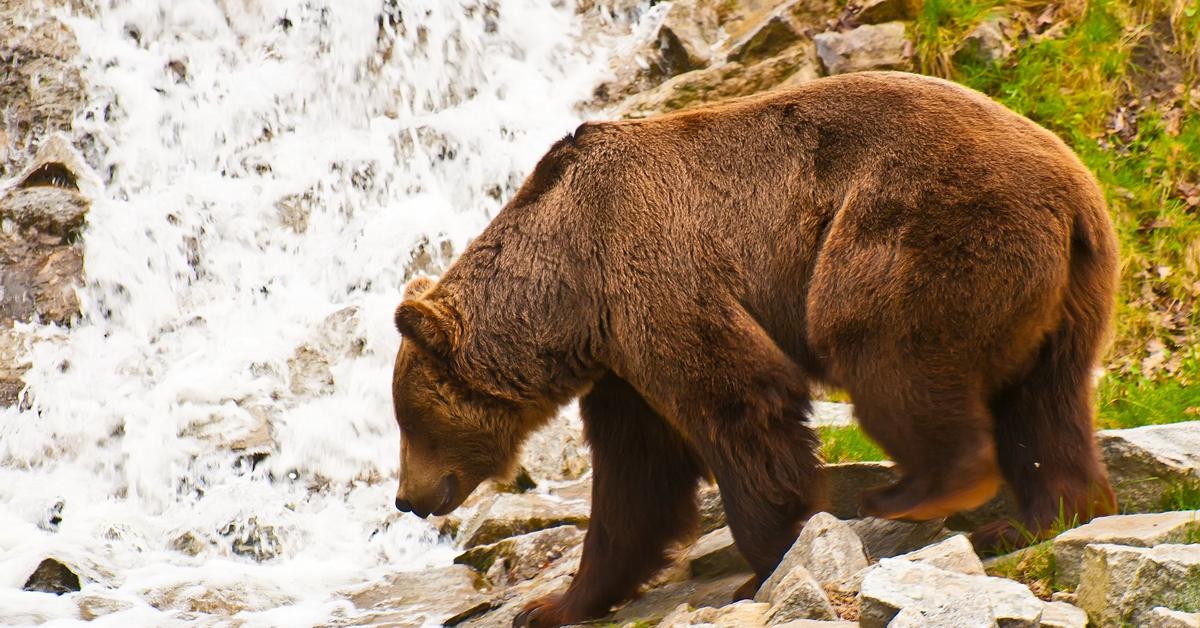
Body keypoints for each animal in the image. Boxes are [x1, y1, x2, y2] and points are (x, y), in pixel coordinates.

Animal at [388, 71, 1118, 628]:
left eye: (410, 422)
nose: (406, 499)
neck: (567, 293)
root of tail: (1074, 188)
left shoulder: (651, 275)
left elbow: (738, 405)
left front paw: (767, 560)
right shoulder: (621, 360)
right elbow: (634, 480)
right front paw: (555, 604)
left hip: (916, 224)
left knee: (884, 349)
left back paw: (915, 493)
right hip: (1068, 294)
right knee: (1048, 405)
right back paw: (1043, 518)